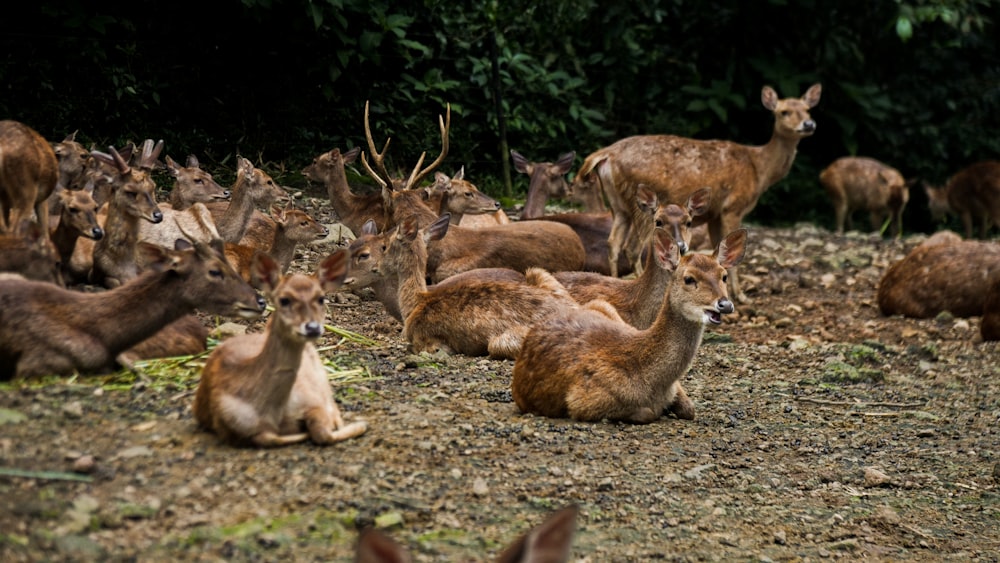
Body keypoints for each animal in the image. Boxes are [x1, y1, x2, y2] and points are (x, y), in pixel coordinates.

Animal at [193, 249, 370, 448]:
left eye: (321, 298)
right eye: (284, 300)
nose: (312, 327)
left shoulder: (312, 399)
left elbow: (322, 432)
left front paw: (360, 424)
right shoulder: (229, 426)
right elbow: (269, 437)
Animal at [376, 214, 584, 360]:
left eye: (384, 246)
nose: (377, 267)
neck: (415, 303)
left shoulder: (429, 340)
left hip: (503, 341)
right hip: (539, 273)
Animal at [512, 229, 748, 424]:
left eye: (723, 276)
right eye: (689, 279)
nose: (725, 304)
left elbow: (690, 409)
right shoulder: (582, 401)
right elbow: (647, 413)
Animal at [584, 82, 824, 302]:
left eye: (807, 109)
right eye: (784, 111)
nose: (809, 124)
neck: (759, 169)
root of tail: (606, 154)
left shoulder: (714, 214)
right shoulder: (732, 206)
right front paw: (742, 296)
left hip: (618, 206)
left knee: (613, 243)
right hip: (641, 207)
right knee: (632, 248)